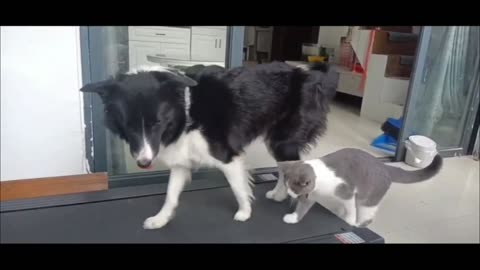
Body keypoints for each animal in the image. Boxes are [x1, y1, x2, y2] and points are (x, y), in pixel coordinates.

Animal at [80, 61, 340, 230]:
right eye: (129, 125)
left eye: (157, 123)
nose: (144, 163)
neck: (185, 110)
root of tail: (311, 74)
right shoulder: (181, 162)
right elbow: (170, 195)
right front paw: (161, 219)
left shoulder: (227, 156)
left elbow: (238, 187)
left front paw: (244, 213)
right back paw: (278, 194)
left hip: (282, 141)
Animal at [278, 149, 442, 227]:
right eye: (287, 186)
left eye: (294, 189)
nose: (290, 195)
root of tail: (385, 166)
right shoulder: (311, 196)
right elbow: (302, 209)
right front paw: (293, 218)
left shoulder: (347, 193)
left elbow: (351, 209)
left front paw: (349, 221)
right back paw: (339, 213)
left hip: (367, 199)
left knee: (366, 214)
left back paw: (356, 223)